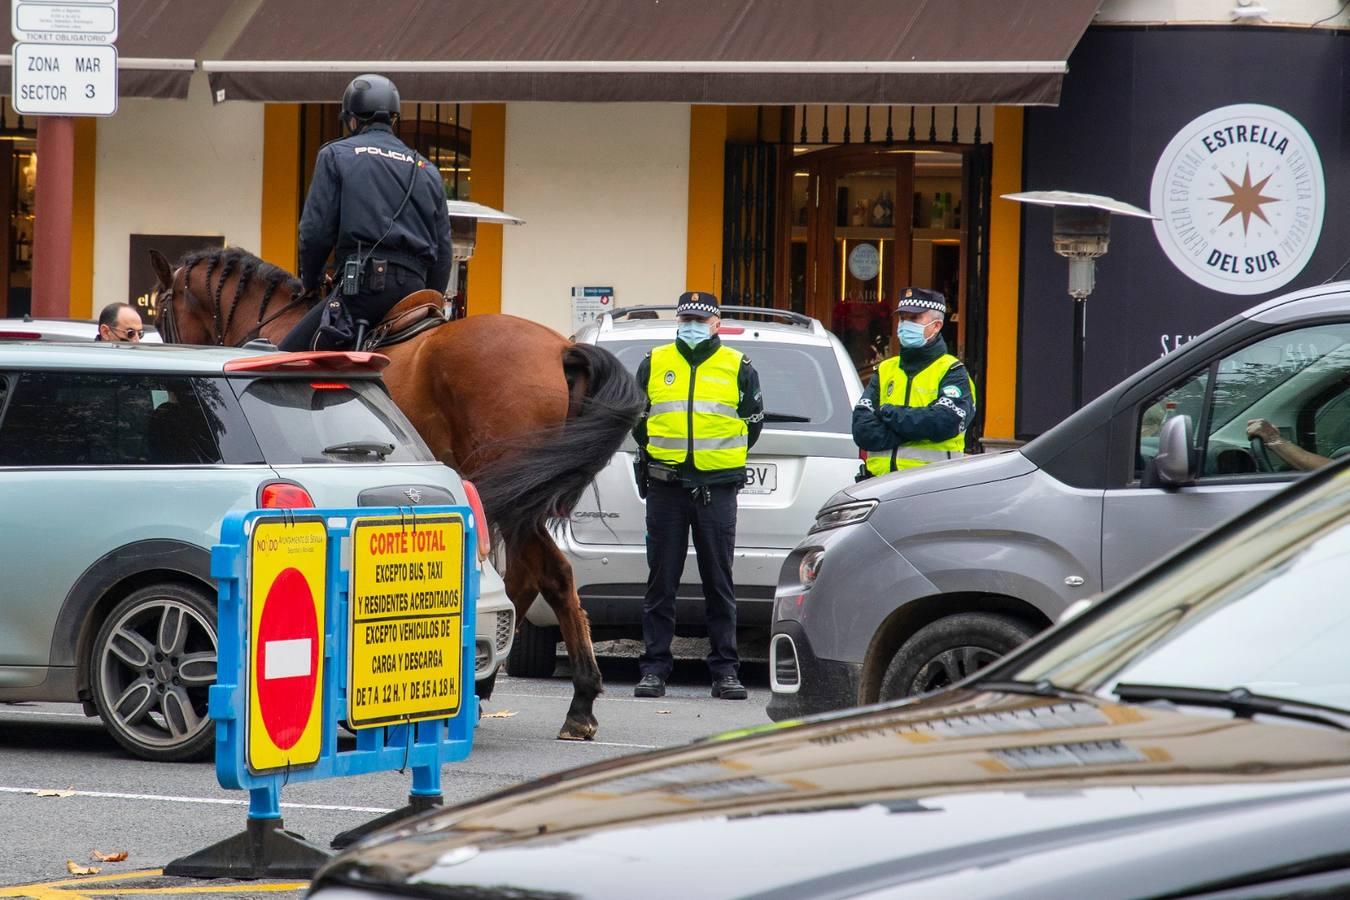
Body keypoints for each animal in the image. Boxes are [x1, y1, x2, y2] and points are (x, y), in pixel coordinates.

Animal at [150, 246, 645, 739]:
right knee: (540, 578)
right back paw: (552, 697)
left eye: (163, 309)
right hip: (523, 499)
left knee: (539, 577)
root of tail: (561, 348)